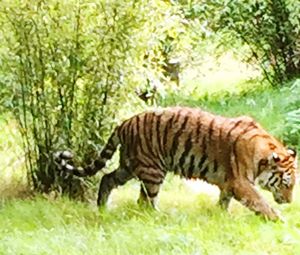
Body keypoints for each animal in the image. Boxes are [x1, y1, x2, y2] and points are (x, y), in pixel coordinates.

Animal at [54, 106, 298, 220]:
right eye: (286, 184)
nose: (288, 201)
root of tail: (124, 123)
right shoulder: (242, 182)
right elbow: (260, 202)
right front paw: (278, 219)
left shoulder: (229, 183)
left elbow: (224, 200)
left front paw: (220, 215)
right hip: (152, 171)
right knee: (145, 202)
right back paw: (160, 217)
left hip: (129, 166)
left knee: (107, 178)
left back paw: (103, 207)